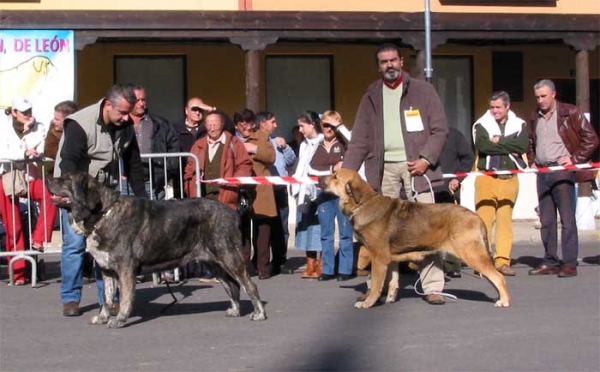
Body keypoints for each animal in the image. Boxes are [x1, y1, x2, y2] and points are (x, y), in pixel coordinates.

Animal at [48, 172, 268, 328]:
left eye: (67, 179)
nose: (49, 178)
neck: (103, 213)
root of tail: (232, 212)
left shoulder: (125, 269)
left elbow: (125, 297)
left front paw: (119, 319)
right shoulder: (107, 269)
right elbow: (107, 298)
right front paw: (102, 317)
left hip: (229, 257)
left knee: (249, 285)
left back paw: (259, 314)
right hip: (214, 263)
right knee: (233, 286)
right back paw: (235, 310)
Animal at [324, 169, 510, 308]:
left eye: (335, 177)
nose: (321, 181)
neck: (362, 203)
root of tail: (476, 217)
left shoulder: (379, 258)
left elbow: (376, 285)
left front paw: (368, 303)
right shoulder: (390, 259)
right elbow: (392, 281)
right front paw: (390, 298)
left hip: (472, 254)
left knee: (498, 277)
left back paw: (504, 301)